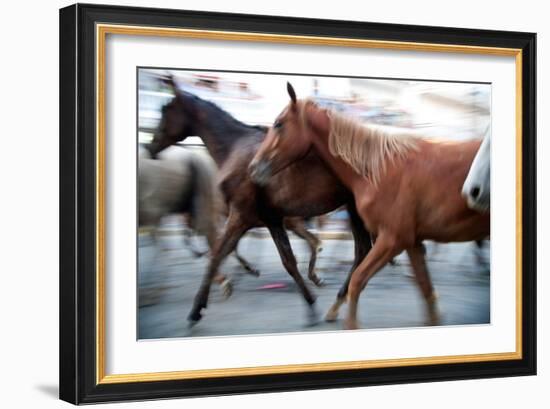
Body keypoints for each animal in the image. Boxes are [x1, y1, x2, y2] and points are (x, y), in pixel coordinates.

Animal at [147, 75, 374, 326]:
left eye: (165, 110)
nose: (150, 146)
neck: (234, 148)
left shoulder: (245, 216)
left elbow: (222, 254)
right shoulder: (264, 218)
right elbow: (261, 257)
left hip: (354, 210)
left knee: (362, 250)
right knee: (360, 250)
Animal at [250, 83, 492, 328]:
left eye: (279, 124)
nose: (253, 167)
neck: (379, 171)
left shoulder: (392, 239)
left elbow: (357, 281)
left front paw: (349, 323)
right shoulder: (412, 242)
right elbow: (425, 289)